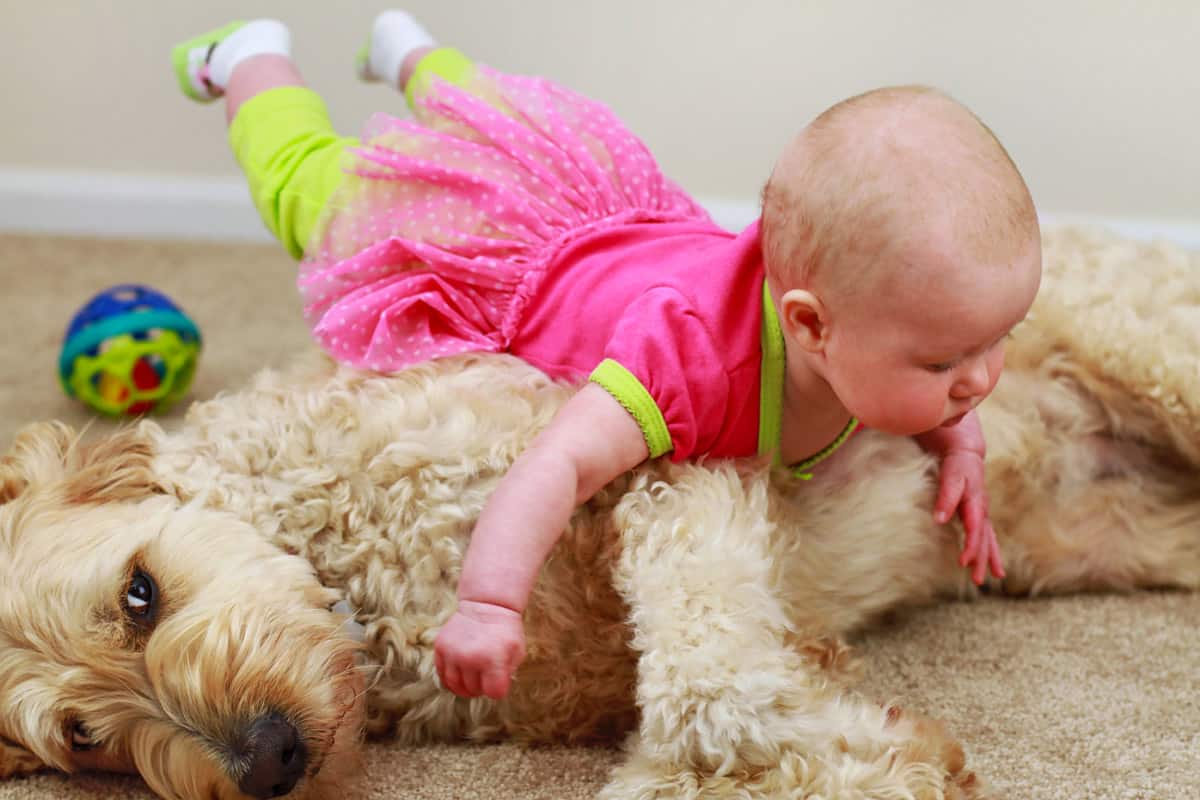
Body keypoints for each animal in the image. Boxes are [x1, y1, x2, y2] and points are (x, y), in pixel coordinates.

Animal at [0, 226, 1195, 800]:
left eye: (140, 593)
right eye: (82, 739)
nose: (267, 759)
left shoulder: (667, 457)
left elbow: (708, 684)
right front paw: (853, 755)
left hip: (1154, 356)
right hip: (1103, 541)